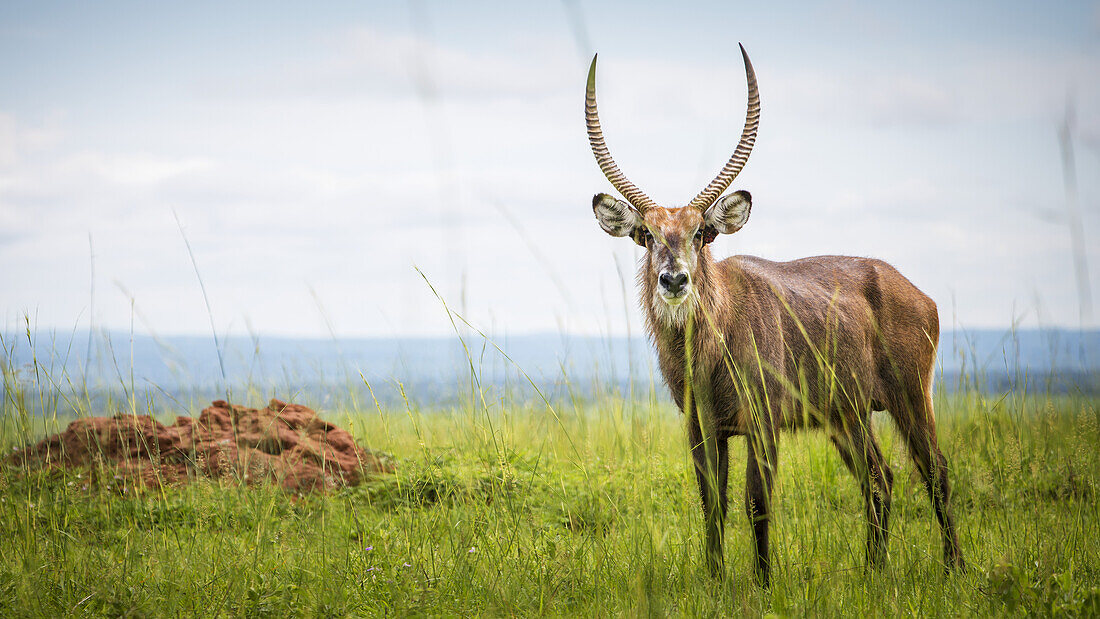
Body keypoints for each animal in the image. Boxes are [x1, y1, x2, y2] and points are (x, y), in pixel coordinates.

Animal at [585, 44, 963, 584]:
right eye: (647, 235)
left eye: (702, 233)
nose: (675, 280)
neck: (711, 347)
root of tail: (917, 292)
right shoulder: (702, 428)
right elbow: (712, 505)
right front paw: (715, 580)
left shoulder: (763, 422)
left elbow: (756, 505)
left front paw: (763, 585)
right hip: (846, 414)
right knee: (881, 479)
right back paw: (873, 571)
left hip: (911, 396)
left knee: (935, 472)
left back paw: (954, 569)